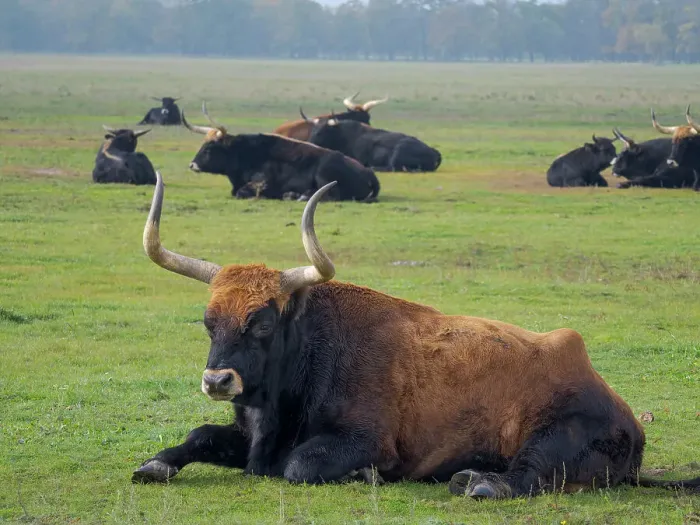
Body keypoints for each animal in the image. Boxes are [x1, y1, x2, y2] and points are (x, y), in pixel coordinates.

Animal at [132, 174, 700, 498]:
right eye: (209, 321)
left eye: (263, 322)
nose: (217, 381)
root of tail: (621, 411)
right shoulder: (249, 438)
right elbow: (200, 435)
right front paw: (156, 463)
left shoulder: (361, 441)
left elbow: (300, 464)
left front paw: (364, 477)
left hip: (550, 439)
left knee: (523, 480)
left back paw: (477, 483)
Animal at [183, 104, 380, 202]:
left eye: (209, 148)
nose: (192, 164)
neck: (246, 153)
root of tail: (369, 174)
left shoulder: (262, 183)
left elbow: (241, 192)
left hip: (325, 173)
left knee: (330, 196)